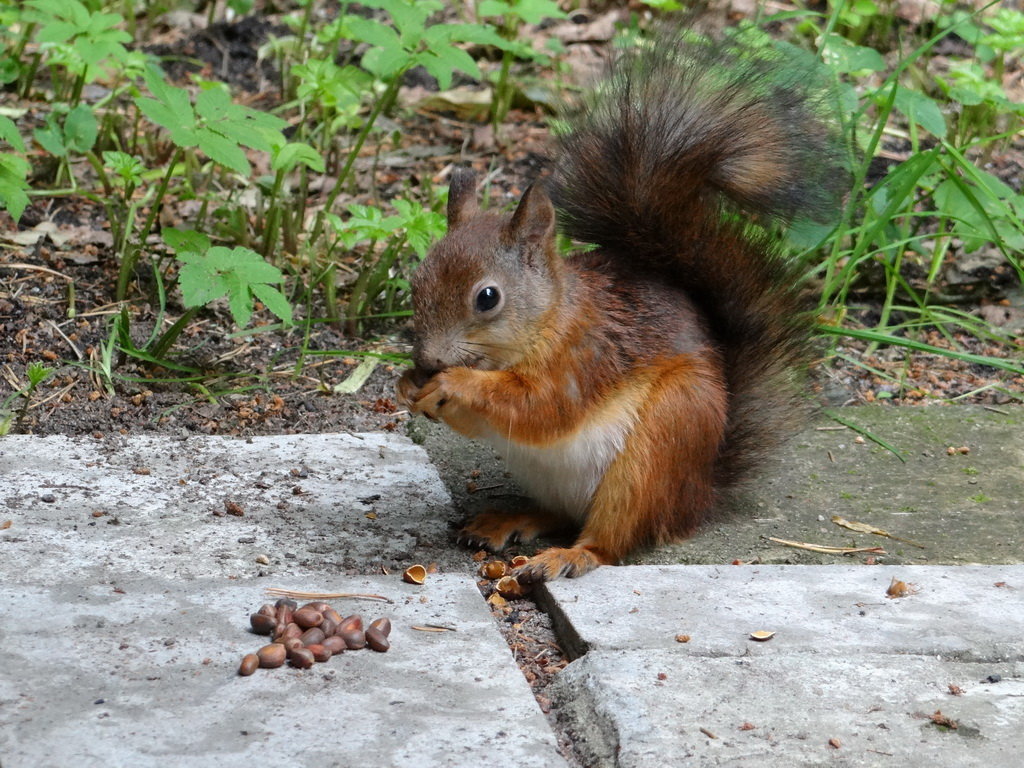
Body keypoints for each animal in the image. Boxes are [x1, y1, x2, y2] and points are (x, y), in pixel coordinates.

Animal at [395, 30, 843, 581]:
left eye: (487, 297)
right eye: (415, 281)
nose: (428, 360)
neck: (548, 321)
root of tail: (698, 494)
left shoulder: (586, 357)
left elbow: (540, 407)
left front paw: (455, 383)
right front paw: (409, 385)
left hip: (658, 445)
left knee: (610, 539)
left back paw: (570, 555)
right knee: (560, 513)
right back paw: (509, 519)